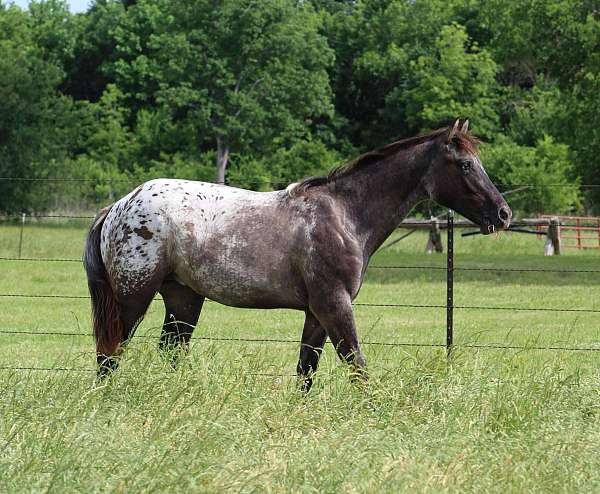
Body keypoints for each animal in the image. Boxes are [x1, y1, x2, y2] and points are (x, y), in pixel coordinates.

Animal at [83, 120, 510, 390]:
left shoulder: (316, 312)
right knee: (110, 353)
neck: (344, 215)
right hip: (134, 297)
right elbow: (356, 365)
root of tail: (119, 205)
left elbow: (307, 370)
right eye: (466, 164)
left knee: (169, 350)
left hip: (183, 298)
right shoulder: (334, 304)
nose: (503, 213)